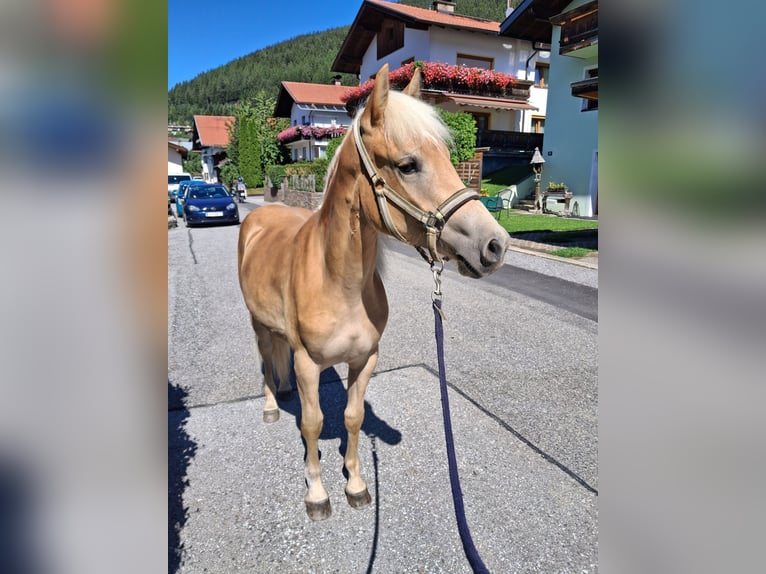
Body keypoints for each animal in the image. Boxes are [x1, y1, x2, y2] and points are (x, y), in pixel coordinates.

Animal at [237, 64, 510, 521]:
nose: (495, 245)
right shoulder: (309, 363)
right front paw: (317, 493)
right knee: (265, 361)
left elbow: (352, 417)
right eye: (408, 164)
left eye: (447, 156)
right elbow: (312, 423)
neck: (337, 282)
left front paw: (357, 485)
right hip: (257, 324)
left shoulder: (365, 359)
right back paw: (273, 406)